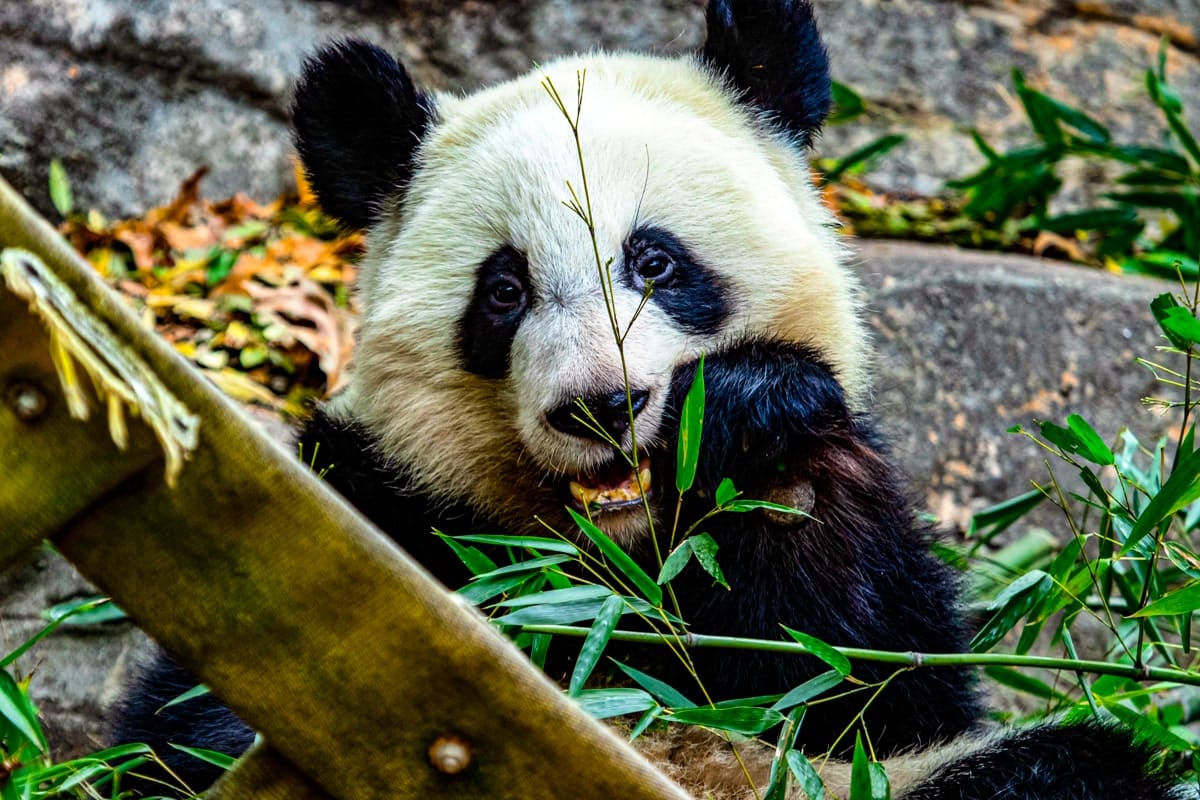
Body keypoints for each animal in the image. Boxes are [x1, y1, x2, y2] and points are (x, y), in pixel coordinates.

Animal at [114, 1, 1190, 798]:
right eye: (504, 289)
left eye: (655, 261)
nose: (600, 403)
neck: (621, 564)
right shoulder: (378, 499)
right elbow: (199, 719)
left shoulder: (864, 613)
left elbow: (876, 681)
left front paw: (750, 412)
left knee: (1064, 768)